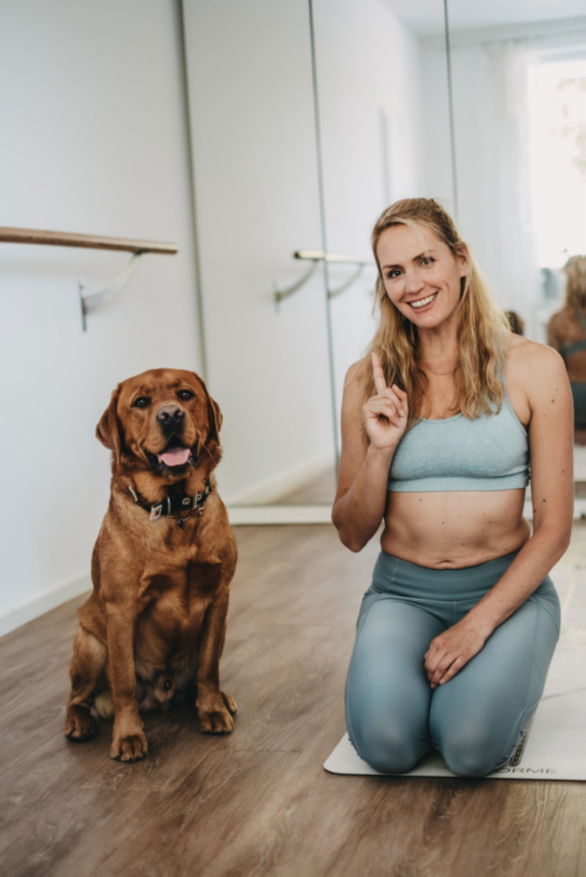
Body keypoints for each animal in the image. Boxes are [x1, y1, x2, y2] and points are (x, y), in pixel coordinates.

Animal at [64, 366, 237, 756]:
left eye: (185, 395)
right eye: (141, 402)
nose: (171, 415)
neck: (177, 510)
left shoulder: (219, 596)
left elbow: (209, 668)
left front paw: (212, 710)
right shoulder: (121, 607)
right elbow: (124, 681)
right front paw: (128, 735)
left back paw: (221, 698)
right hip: (90, 643)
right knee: (78, 697)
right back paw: (79, 723)